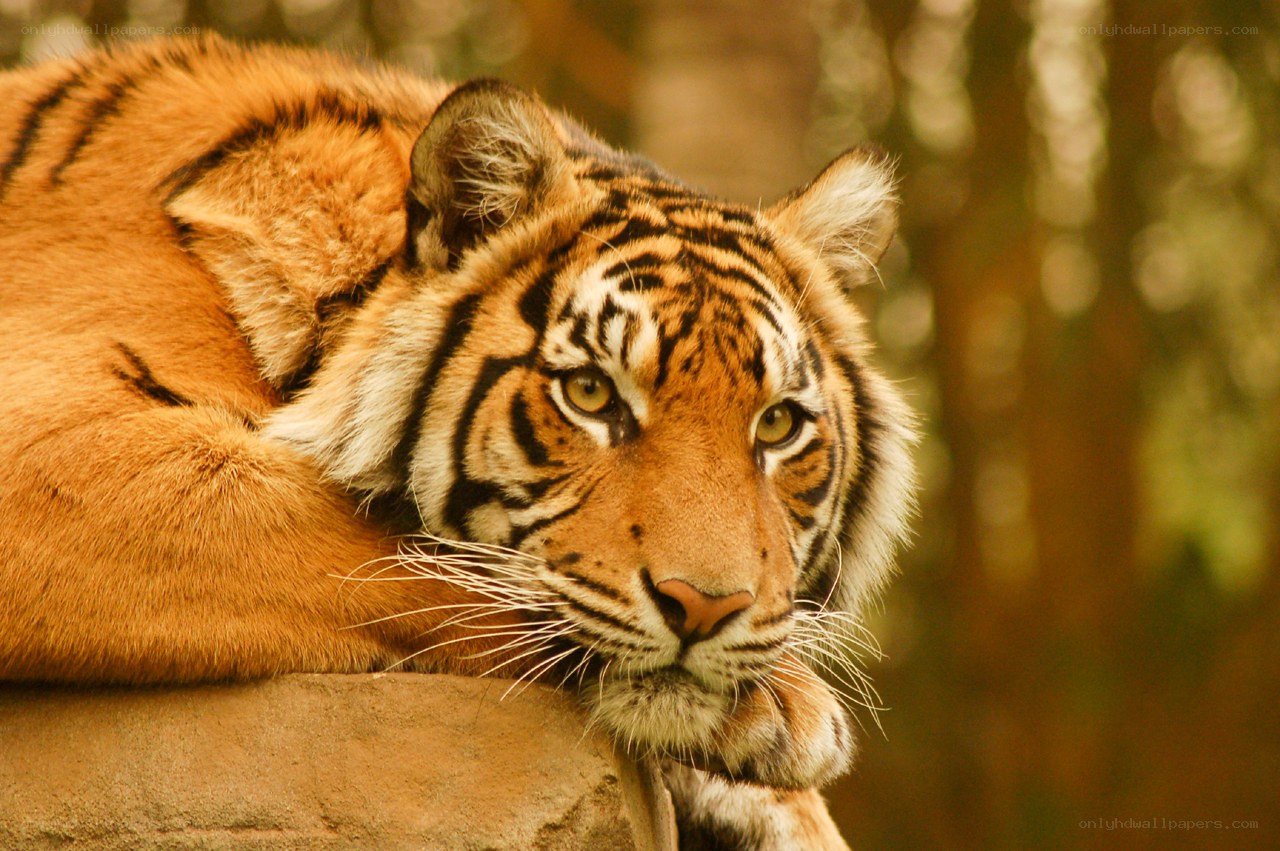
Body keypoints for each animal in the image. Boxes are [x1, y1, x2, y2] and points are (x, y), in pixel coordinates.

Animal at [0, 35, 916, 849]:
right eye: (591, 393)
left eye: (777, 424)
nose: (706, 608)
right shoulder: (49, 444)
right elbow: (399, 552)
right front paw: (787, 705)